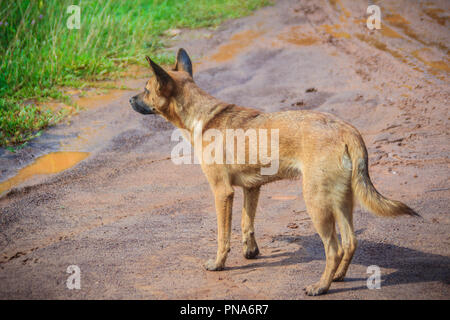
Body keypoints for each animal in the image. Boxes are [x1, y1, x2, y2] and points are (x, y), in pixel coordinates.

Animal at [129, 48, 418, 296]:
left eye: (145, 89)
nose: (130, 99)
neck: (203, 116)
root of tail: (347, 130)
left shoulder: (222, 192)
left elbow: (223, 235)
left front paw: (219, 263)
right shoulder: (251, 188)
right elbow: (247, 224)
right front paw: (251, 252)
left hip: (317, 203)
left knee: (333, 249)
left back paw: (320, 287)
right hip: (341, 201)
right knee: (350, 242)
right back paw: (337, 277)